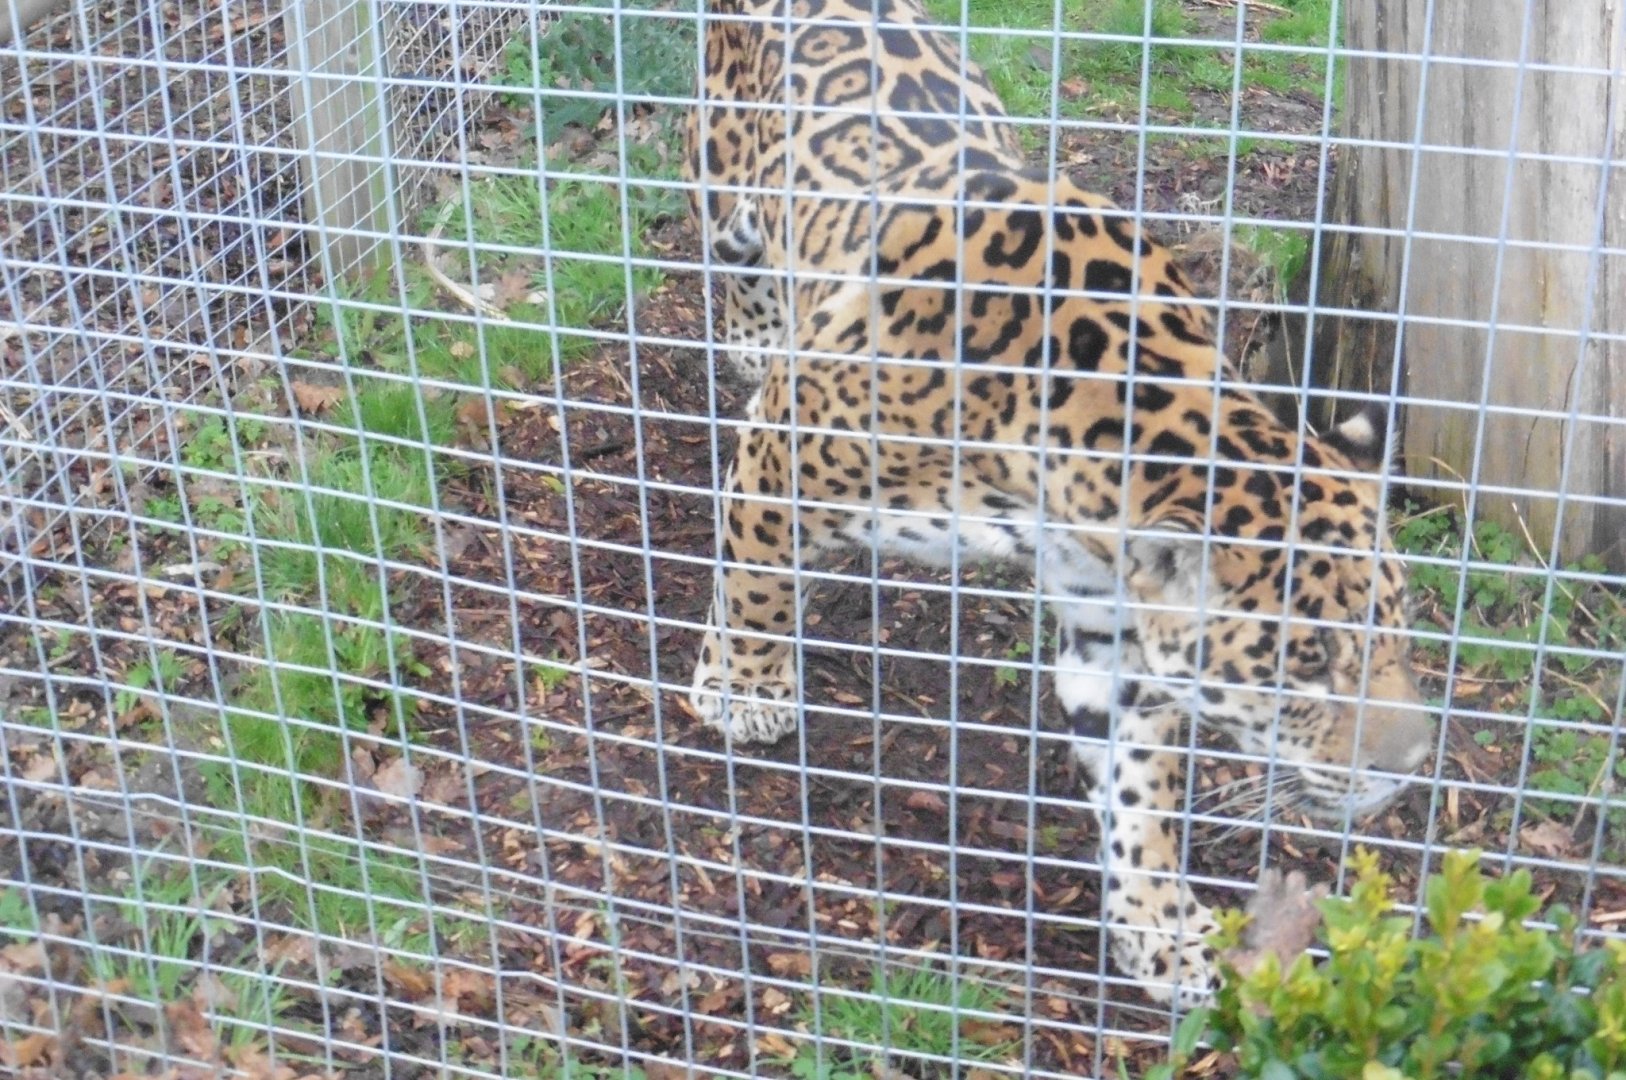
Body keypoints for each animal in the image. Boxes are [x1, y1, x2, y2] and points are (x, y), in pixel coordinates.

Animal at [682, 0, 1434, 1005]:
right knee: (738, 264)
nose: (1410, 769)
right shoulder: (784, 456)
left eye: (1398, 631)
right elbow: (755, 582)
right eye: (1303, 662)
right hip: (719, 187)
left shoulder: (1114, 622)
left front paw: (1163, 927)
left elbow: (1138, 788)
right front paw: (746, 690)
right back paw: (756, 338)